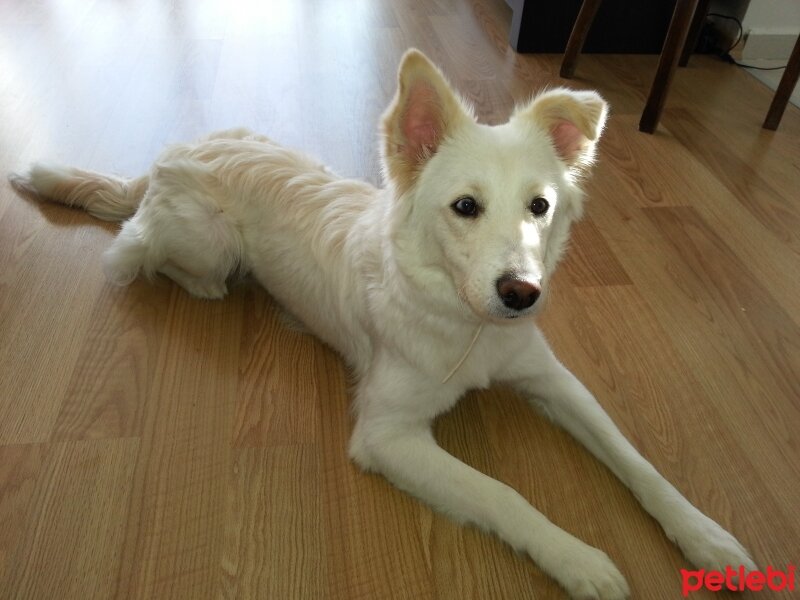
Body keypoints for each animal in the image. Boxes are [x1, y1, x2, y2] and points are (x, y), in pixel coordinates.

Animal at [12, 49, 756, 596]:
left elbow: (635, 458)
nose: (522, 294)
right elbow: (503, 494)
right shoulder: (388, 435)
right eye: (465, 206)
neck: (465, 324)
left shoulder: (551, 378)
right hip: (205, 240)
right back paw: (202, 285)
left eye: (540, 206)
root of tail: (174, 153)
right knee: (134, 251)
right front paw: (579, 560)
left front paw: (708, 537)